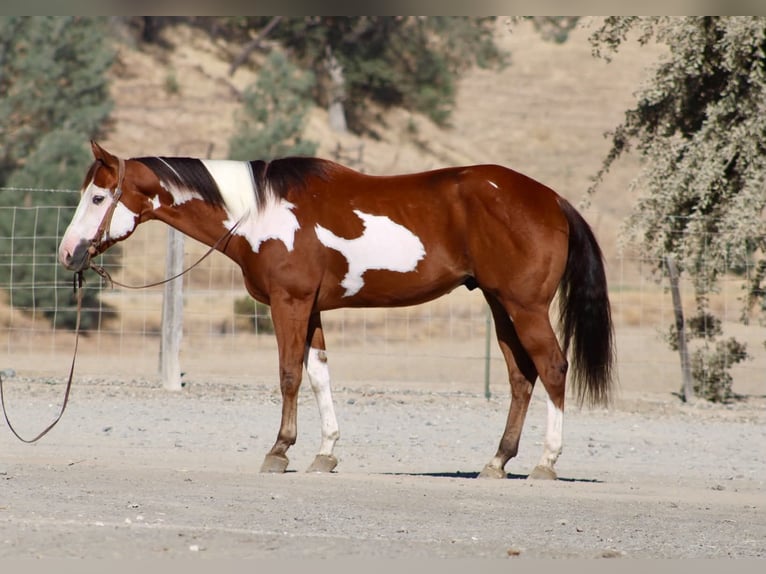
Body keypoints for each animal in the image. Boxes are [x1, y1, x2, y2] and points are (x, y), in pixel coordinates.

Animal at [59, 141, 614, 480]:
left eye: (98, 197)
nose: (68, 253)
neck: (259, 213)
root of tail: (551, 199)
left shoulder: (290, 304)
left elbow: (288, 374)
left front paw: (279, 451)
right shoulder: (312, 310)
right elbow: (319, 375)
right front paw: (324, 453)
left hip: (525, 307)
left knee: (553, 368)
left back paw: (546, 462)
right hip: (501, 307)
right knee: (522, 377)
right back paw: (497, 461)